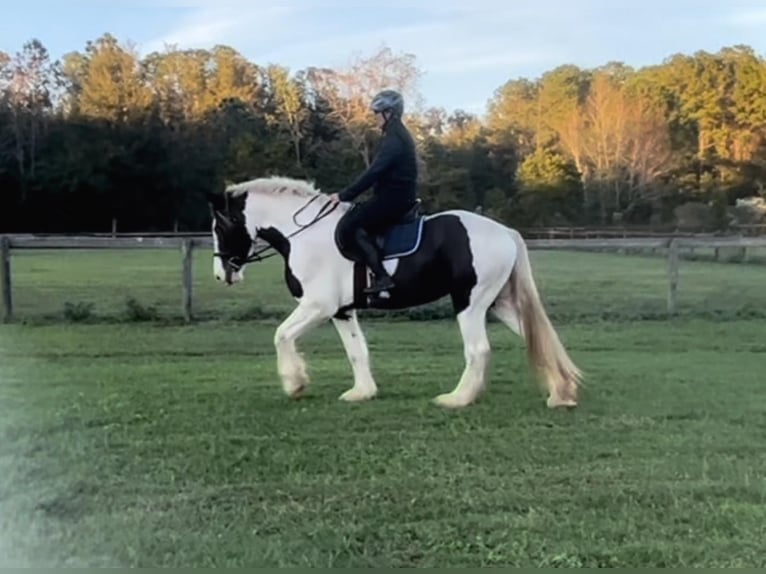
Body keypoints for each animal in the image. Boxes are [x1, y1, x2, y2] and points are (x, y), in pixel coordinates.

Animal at [207, 176, 584, 410]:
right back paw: (561, 392)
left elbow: (281, 335)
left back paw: (457, 399)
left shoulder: (319, 306)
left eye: (221, 226)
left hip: (470, 303)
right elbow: (357, 352)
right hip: (498, 303)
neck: (304, 234)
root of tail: (505, 231)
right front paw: (362, 392)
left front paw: (294, 384)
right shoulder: (341, 310)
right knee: (536, 338)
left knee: (478, 350)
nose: (221, 274)